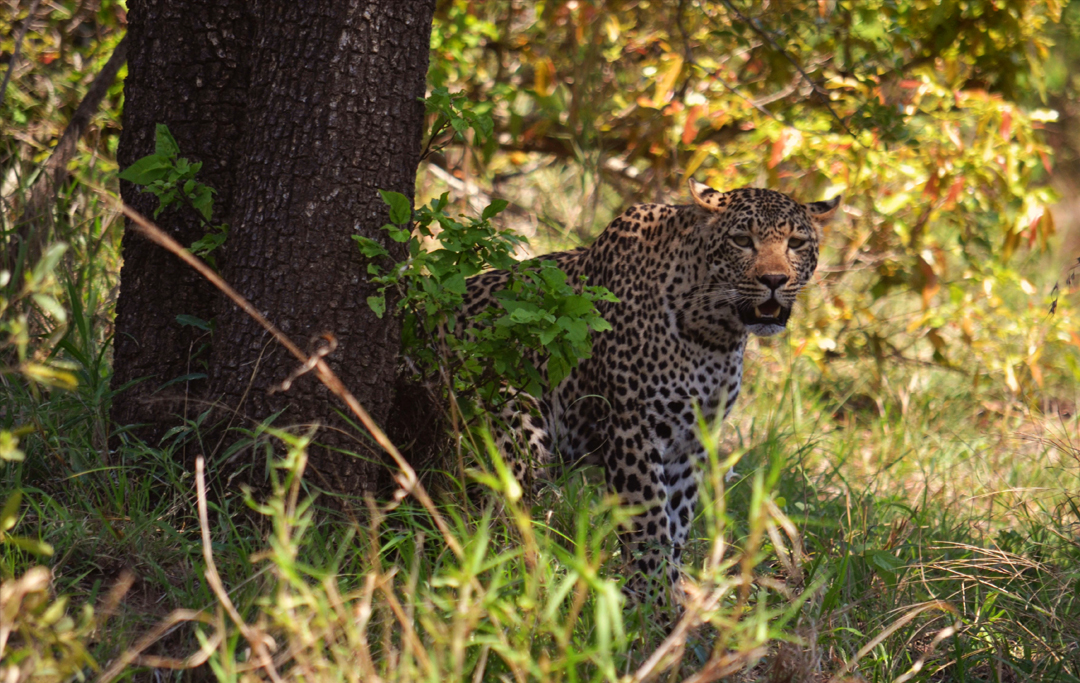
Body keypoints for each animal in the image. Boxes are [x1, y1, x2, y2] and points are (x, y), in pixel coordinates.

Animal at [461, 179, 841, 604]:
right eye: (743, 240)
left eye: (795, 243)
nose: (774, 280)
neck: (713, 333)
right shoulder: (634, 431)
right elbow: (649, 523)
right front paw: (654, 602)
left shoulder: (690, 443)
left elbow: (675, 524)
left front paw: (663, 599)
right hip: (513, 428)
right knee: (499, 515)